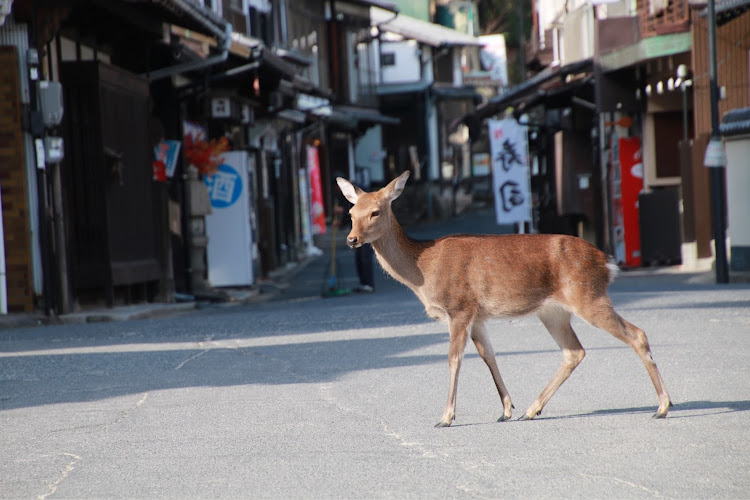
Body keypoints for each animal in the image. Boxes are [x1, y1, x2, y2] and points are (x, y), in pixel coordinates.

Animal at [338, 171, 672, 426]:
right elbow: (489, 355)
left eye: (375, 211)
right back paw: (532, 410)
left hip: (588, 296)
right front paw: (506, 409)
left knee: (637, 335)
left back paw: (662, 407)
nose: (351, 239)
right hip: (554, 311)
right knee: (574, 351)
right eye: (351, 214)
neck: (423, 268)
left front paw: (446, 417)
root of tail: (607, 262)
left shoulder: (459, 307)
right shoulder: (477, 315)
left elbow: (454, 358)